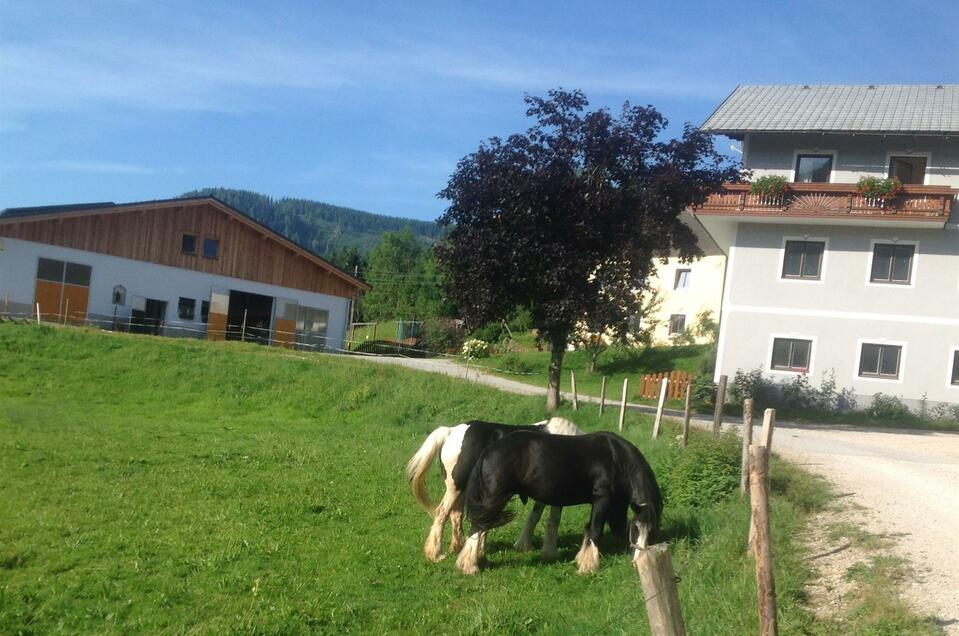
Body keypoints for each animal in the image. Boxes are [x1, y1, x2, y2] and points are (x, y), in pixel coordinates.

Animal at [406, 418, 584, 560]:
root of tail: (452, 431)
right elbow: (553, 520)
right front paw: (550, 552)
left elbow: (534, 516)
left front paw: (523, 545)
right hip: (455, 488)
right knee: (441, 513)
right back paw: (436, 554)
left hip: (462, 490)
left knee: (456, 515)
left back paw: (460, 548)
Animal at [456, 430, 660, 572]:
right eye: (635, 530)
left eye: (650, 531)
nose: (639, 563)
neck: (615, 458)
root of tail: (490, 449)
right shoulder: (602, 498)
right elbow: (595, 531)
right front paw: (588, 566)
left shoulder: (598, 503)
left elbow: (588, 529)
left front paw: (581, 558)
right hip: (494, 497)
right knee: (478, 527)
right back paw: (469, 566)